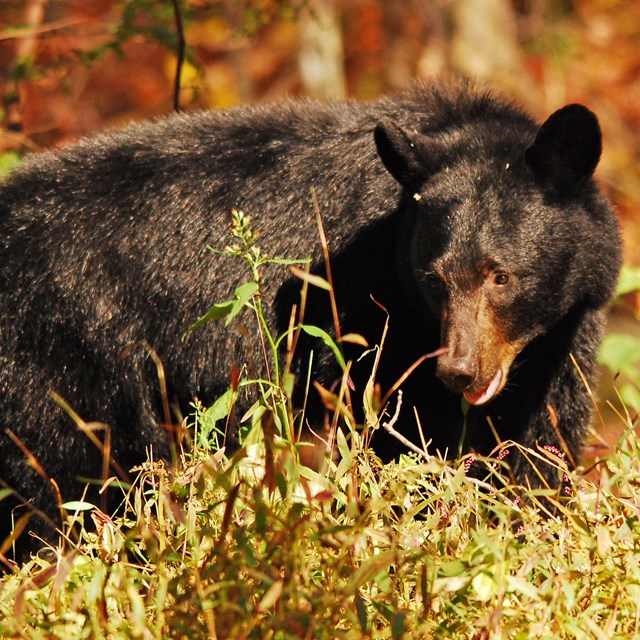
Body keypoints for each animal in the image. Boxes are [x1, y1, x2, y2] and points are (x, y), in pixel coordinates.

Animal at [0, 79, 621, 558]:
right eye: (434, 278)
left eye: (501, 276)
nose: (460, 371)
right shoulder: (371, 321)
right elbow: (399, 435)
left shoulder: (562, 337)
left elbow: (537, 438)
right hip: (60, 366)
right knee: (59, 485)